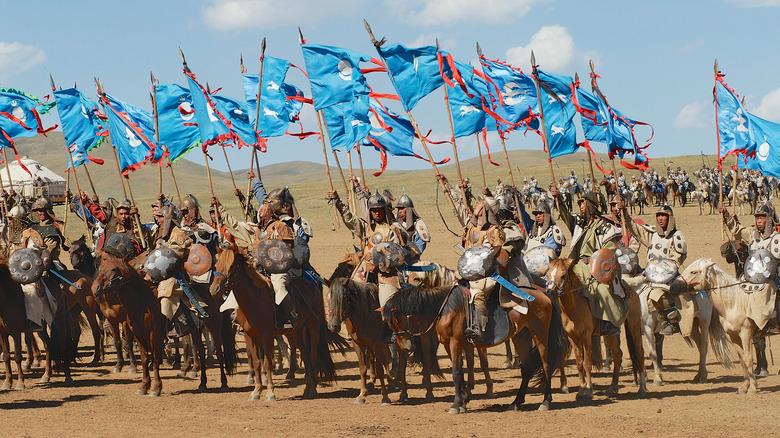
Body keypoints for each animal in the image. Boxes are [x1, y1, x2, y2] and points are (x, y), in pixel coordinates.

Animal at [91, 250, 165, 396]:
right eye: (102, 264)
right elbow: (142, 357)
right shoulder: (134, 331)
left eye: (114, 269)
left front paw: (156, 388)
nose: (95, 287)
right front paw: (143, 386)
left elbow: (152, 357)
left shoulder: (152, 331)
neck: (142, 302)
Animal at [207, 245, 348, 402]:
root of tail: (313, 286)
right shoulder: (250, 335)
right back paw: (307, 388)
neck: (254, 299)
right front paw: (256, 391)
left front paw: (270, 393)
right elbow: (256, 362)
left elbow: (267, 363)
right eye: (216, 265)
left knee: (312, 356)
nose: (214, 289)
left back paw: (312, 389)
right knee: (305, 356)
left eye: (231, 266)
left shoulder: (267, 335)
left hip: (313, 327)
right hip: (297, 332)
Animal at [382, 278, 568, 412]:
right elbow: (461, 370)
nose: (406, 347)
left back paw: (545, 402)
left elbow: (456, 372)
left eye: (398, 321)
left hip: (540, 334)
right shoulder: (449, 344)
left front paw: (456, 404)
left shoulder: (455, 342)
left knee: (546, 364)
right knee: (527, 367)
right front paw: (464, 400)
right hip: (521, 337)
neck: (445, 309)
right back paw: (516, 402)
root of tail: (543, 294)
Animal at [544, 258, 644, 402]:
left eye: (563, 275)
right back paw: (613, 387)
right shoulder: (573, 338)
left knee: (640, 353)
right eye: (547, 274)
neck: (575, 307)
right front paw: (581, 391)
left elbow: (587, 363)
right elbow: (579, 364)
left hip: (634, 325)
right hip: (611, 334)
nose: (550, 292)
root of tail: (631, 291)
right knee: (617, 355)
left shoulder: (586, 336)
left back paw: (642, 388)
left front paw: (589, 391)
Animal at [680, 258, 776, 396]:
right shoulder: (733, 335)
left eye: (694, 271)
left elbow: (748, 358)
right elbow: (742, 359)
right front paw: (744, 386)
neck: (734, 302)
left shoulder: (746, 333)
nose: (674, 285)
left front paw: (752, 388)